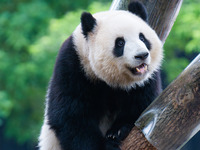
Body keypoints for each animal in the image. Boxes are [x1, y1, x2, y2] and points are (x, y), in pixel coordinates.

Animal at [38, 1, 162, 150]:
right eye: (120, 42)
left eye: (142, 37)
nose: (142, 55)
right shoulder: (73, 67)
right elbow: (71, 116)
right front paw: (106, 145)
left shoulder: (145, 81)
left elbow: (143, 105)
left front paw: (117, 131)